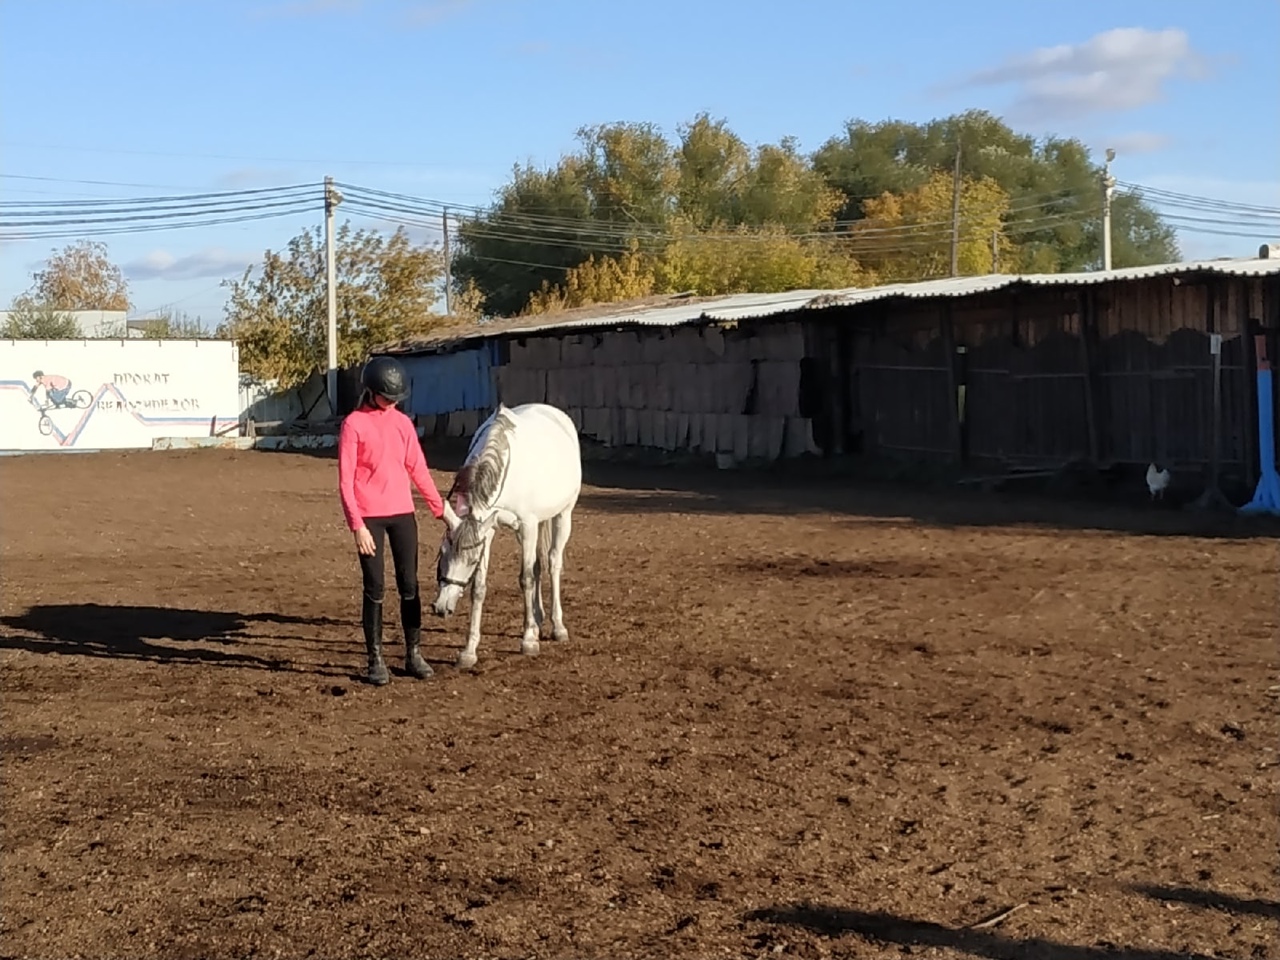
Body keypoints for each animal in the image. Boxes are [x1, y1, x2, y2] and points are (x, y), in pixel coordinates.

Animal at [435, 401, 586, 670]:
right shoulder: (489, 530)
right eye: (442, 553)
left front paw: (528, 641)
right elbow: (480, 588)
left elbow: (525, 579)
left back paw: (557, 627)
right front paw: (469, 651)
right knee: (537, 565)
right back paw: (537, 620)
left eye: (470, 562)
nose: (442, 608)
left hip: (563, 515)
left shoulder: (527, 526)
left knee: (553, 563)